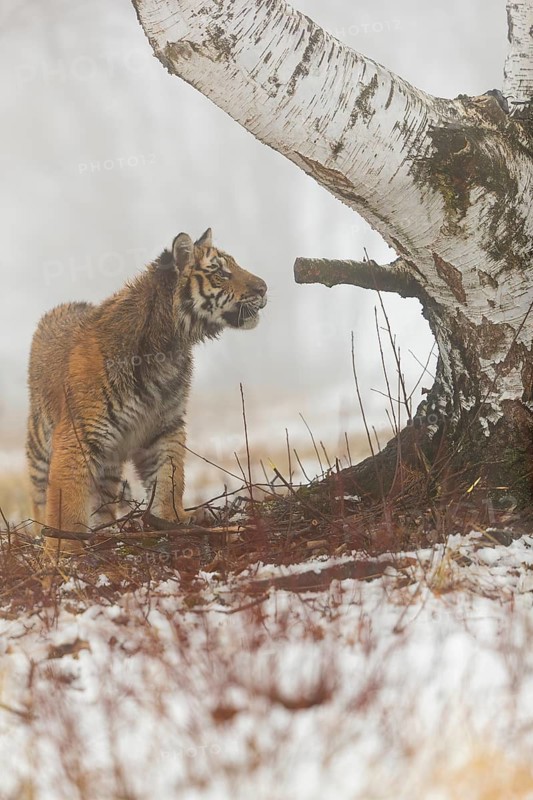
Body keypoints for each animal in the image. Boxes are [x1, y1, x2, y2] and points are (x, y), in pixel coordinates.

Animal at [26, 228, 267, 556]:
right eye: (219, 272)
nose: (264, 288)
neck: (170, 347)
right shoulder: (78, 435)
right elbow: (66, 503)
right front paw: (64, 552)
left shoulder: (164, 427)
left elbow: (169, 480)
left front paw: (171, 522)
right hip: (40, 446)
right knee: (40, 497)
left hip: (109, 461)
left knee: (103, 501)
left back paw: (108, 533)